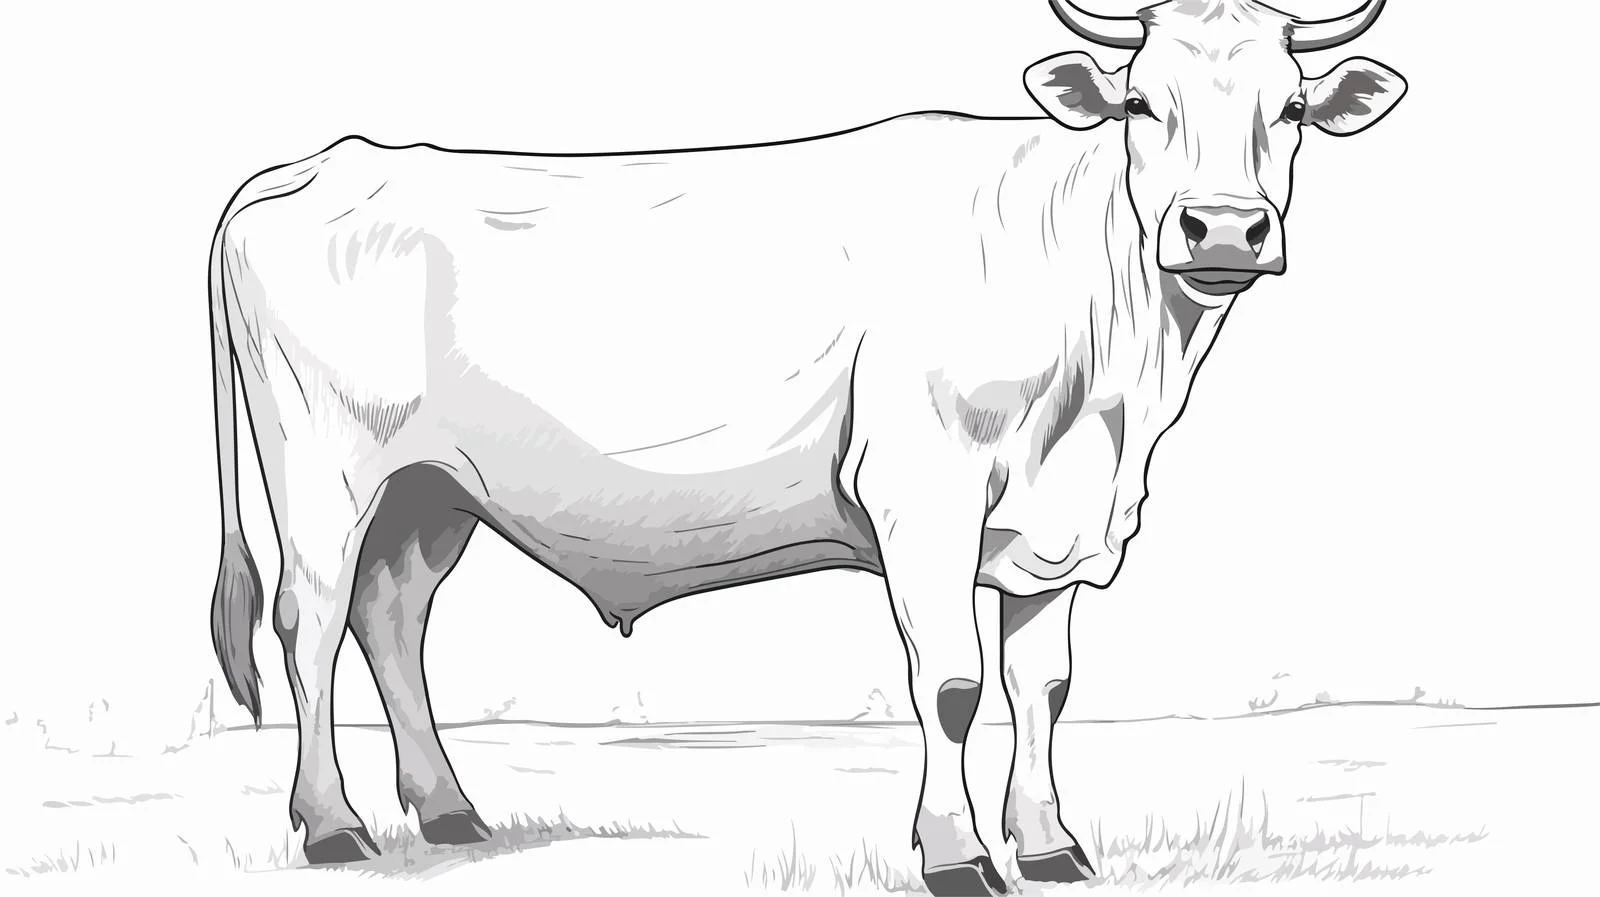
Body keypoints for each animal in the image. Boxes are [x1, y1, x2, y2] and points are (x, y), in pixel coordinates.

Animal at [206, 1, 1405, 892]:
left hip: (430, 492)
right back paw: (333, 827)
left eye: (1293, 105)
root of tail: (318, 164)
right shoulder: (923, 490)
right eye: (1142, 103)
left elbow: (1044, 687)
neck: (1111, 385)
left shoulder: (1055, 523)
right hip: (324, 474)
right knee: (310, 622)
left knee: (392, 619)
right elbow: (954, 683)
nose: (1223, 228)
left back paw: (450, 813)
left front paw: (1053, 847)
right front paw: (957, 857)